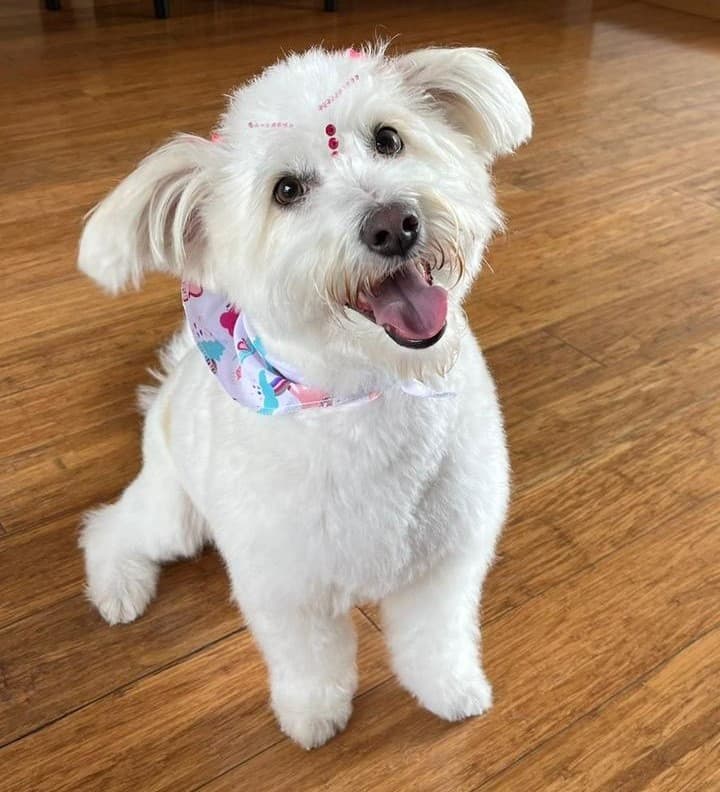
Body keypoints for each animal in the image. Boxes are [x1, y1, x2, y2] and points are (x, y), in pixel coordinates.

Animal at [77, 43, 531, 749]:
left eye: (388, 138)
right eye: (286, 190)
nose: (393, 225)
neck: (361, 394)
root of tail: (174, 383)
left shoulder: (446, 561)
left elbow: (436, 641)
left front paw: (449, 690)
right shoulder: (284, 589)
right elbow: (310, 663)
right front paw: (313, 715)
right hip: (175, 514)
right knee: (109, 528)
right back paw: (119, 588)